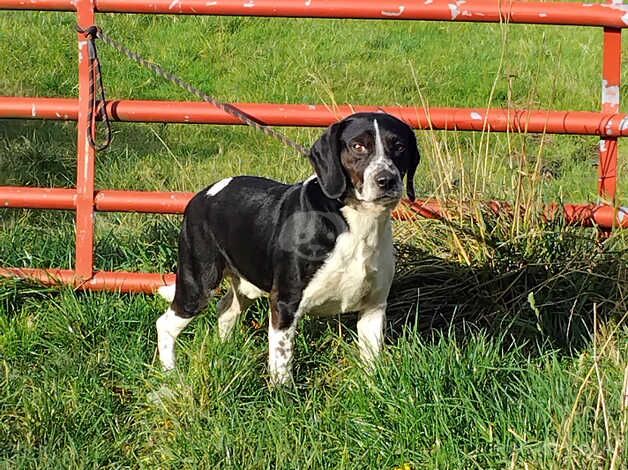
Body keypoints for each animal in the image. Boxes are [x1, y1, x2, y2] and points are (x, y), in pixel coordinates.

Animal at [157, 112, 422, 384]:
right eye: (358, 146)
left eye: (399, 146)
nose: (386, 180)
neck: (357, 223)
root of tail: (201, 196)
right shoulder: (284, 303)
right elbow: (282, 364)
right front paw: (283, 393)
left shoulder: (374, 307)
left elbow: (371, 363)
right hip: (197, 285)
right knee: (165, 324)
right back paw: (170, 373)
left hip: (244, 285)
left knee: (225, 310)